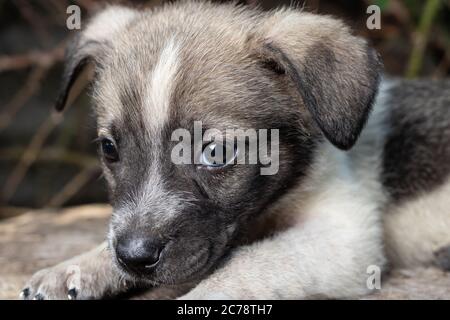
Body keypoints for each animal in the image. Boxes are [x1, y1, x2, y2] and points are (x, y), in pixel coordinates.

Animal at [21, 1, 450, 300]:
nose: (135, 257)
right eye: (110, 149)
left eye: (215, 153)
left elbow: (255, 260)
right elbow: (111, 240)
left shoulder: (344, 235)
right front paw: (80, 266)